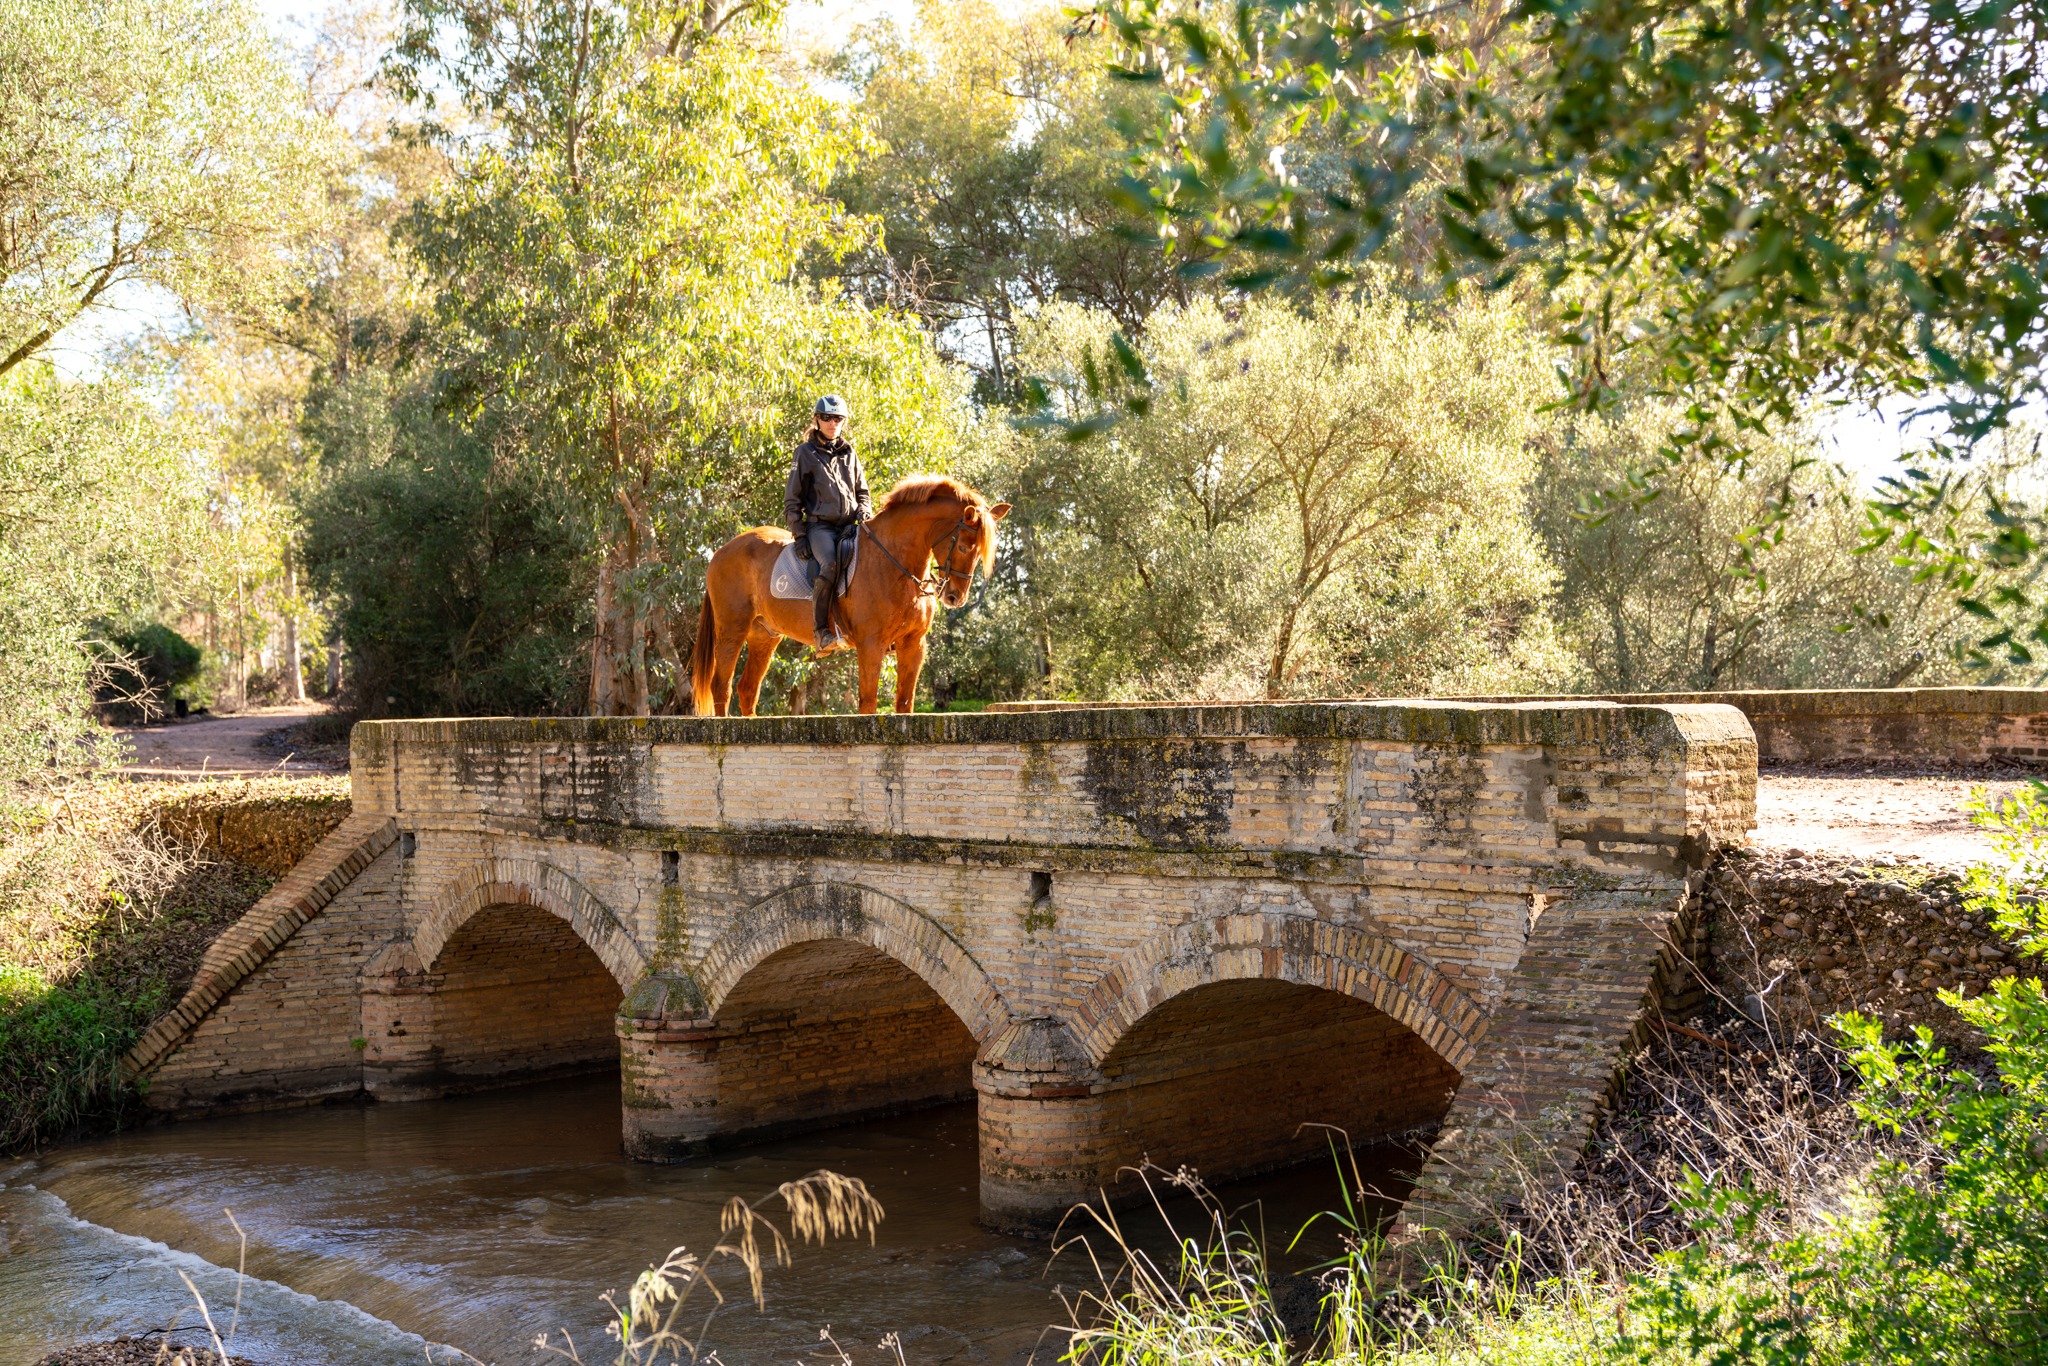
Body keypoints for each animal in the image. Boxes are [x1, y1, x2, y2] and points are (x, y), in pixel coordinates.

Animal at [690, 475, 1011, 716]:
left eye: (978, 551)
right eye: (965, 546)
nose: (955, 597)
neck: (895, 563)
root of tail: (720, 551)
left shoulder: (913, 644)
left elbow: (904, 703)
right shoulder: (871, 645)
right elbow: (868, 702)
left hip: (764, 636)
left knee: (747, 689)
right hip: (732, 629)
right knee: (721, 685)